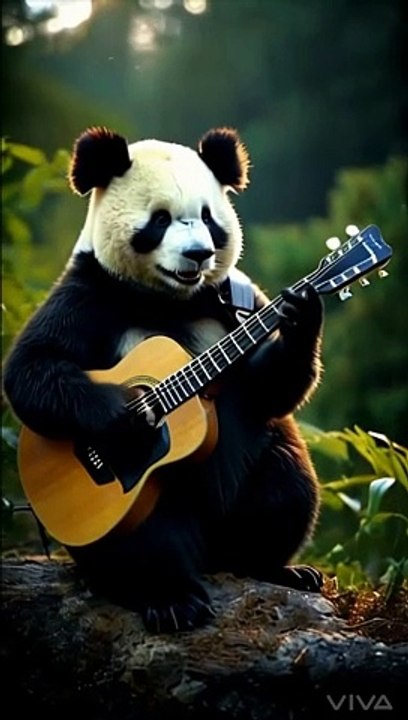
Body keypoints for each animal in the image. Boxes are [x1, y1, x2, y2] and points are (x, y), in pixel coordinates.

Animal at [3, 126, 324, 633]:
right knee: (148, 538)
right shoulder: (88, 292)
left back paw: (275, 568)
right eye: (160, 220)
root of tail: (212, 553)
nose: (198, 254)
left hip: (257, 475)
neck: (169, 298)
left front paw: (303, 310)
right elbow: (32, 368)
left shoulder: (234, 298)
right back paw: (172, 600)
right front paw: (127, 417)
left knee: (286, 484)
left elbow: (268, 390)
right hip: (134, 505)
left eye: (209, 219)